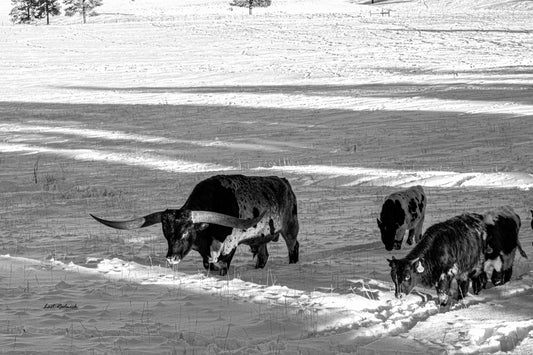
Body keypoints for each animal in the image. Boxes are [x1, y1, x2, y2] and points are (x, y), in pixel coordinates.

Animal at [91, 175, 300, 276]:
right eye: (166, 235)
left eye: (185, 234)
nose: (172, 258)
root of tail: (283, 182)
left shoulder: (229, 247)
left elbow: (222, 266)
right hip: (260, 238)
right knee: (263, 255)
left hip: (290, 227)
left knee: (293, 246)